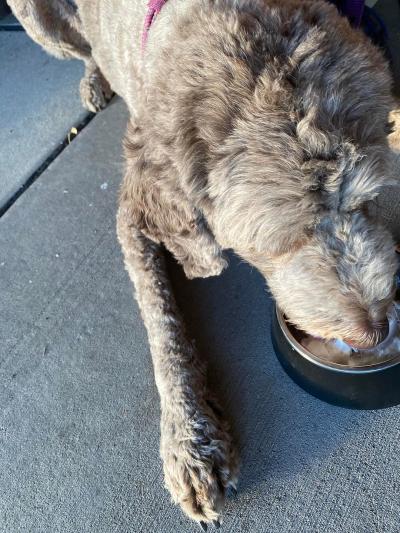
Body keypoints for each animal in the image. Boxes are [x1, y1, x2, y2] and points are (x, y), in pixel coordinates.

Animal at [8, 0, 400, 524]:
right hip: (36, 21)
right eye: (279, 243)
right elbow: (162, 327)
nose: (376, 330)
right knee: (83, 52)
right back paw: (93, 79)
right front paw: (190, 443)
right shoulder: (135, 211)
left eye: (367, 201)